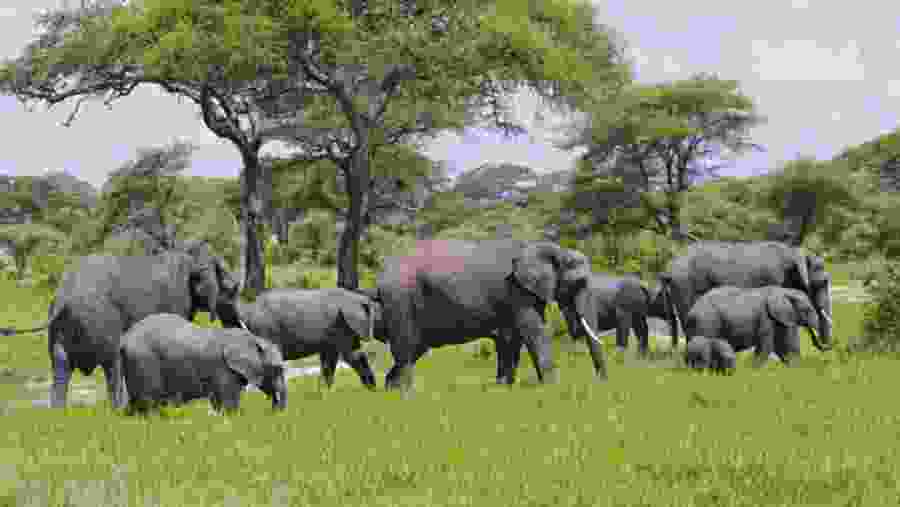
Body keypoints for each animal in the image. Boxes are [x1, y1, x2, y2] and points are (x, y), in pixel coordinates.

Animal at [0, 241, 238, 409]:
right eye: (232, 290)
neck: (186, 252)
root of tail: (63, 296)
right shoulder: (177, 298)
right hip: (102, 319)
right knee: (112, 361)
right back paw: (119, 409)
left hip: (60, 328)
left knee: (61, 365)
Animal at [119, 313, 287, 414]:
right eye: (277, 369)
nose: (273, 411)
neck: (253, 340)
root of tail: (124, 339)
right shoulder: (224, 369)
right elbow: (229, 402)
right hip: (144, 360)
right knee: (149, 402)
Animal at [359, 239, 607, 394]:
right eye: (579, 283)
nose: (602, 383)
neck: (547, 247)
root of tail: (379, 278)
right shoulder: (517, 291)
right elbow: (533, 332)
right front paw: (552, 388)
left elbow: (511, 339)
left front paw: (505, 388)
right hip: (400, 301)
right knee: (406, 349)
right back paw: (406, 394)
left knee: (412, 350)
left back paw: (390, 391)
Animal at [657, 241, 833, 351]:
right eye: (824, 282)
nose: (828, 347)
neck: (795, 252)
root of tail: (669, 267)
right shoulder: (775, 278)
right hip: (685, 285)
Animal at [684, 286, 820, 367]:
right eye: (808, 310)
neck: (784, 291)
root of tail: (691, 312)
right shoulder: (766, 318)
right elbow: (767, 347)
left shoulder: (780, 319)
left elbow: (784, 348)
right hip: (707, 323)